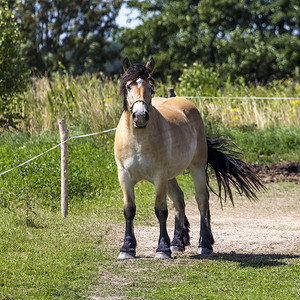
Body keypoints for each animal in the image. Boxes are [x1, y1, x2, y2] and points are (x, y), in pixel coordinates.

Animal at [113, 57, 264, 258]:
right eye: (128, 86)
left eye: (151, 87)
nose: (140, 116)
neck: (138, 139)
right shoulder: (124, 176)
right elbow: (129, 210)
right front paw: (127, 248)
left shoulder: (159, 176)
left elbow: (160, 210)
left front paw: (162, 249)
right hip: (170, 177)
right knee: (179, 199)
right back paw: (177, 242)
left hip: (196, 167)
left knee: (202, 200)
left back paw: (204, 244)